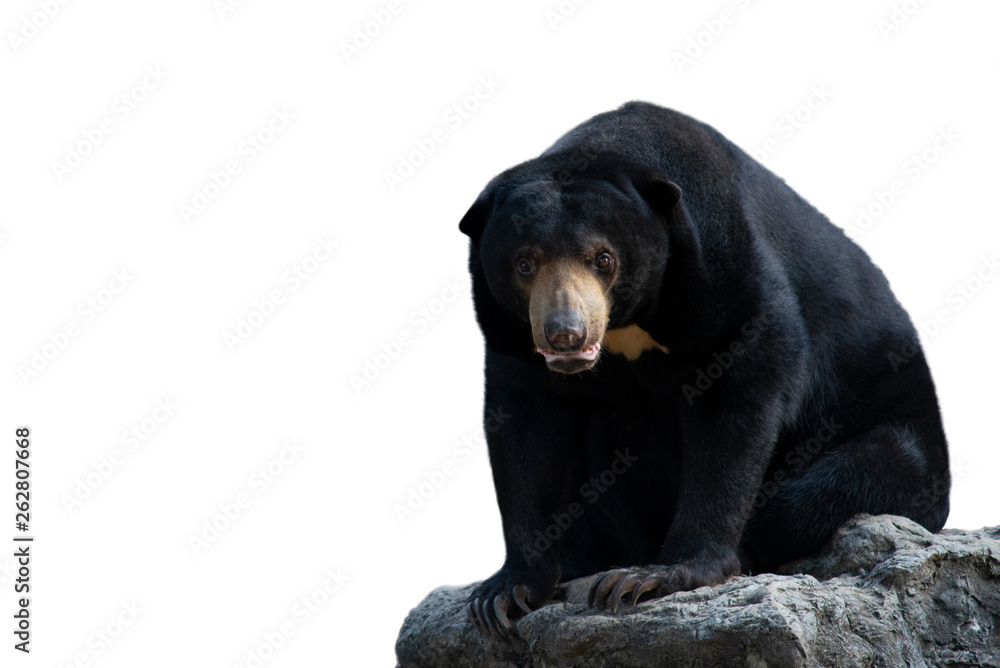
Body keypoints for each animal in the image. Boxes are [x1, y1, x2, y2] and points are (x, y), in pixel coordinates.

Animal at [458, 101, 950, 639]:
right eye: (524, 264)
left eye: (603, 259)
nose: (565, 334)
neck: (630, 325)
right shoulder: (510, 332)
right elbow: (529, 428)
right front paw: (504, 594)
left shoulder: (721, 269)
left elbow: (740, 394)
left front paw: (649, 578)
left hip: (899, 439)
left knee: (832, 488)